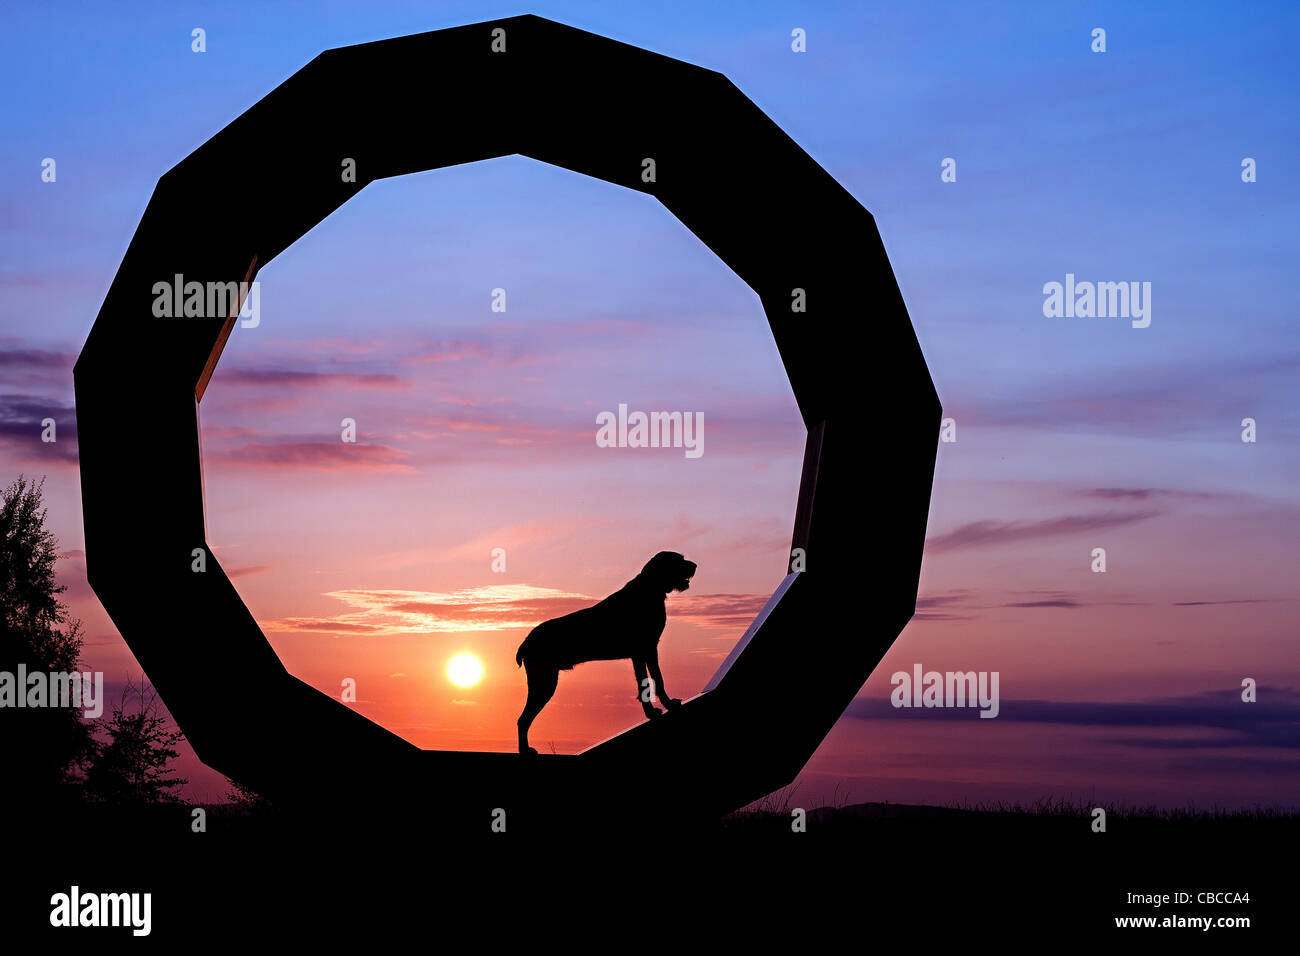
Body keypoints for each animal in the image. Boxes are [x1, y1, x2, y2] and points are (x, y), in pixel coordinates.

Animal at [517, 554, 702, 754]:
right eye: (678, 560)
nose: (694, 565)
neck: (649, 588)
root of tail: (526, 642)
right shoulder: (648, 650)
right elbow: (657, 679)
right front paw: (665, 706)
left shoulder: (640, 655)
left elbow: (644, 682)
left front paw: (651, 711)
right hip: (544, 683)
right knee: (523, 720)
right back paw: (525, 750)